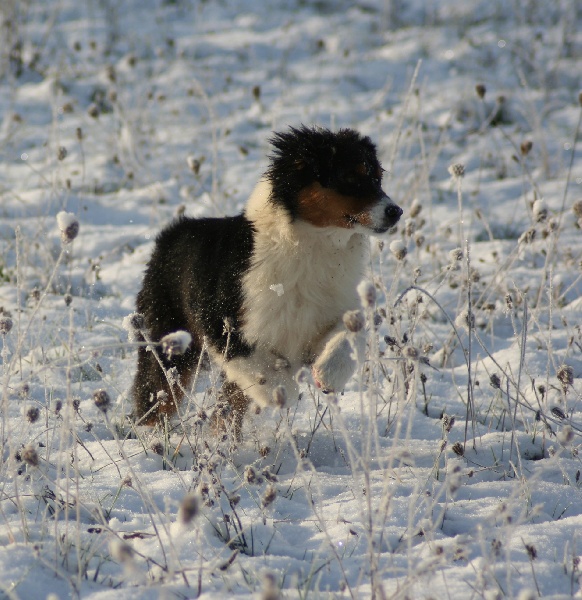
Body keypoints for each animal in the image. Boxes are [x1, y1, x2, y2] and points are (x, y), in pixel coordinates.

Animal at [133, 125, 404, 432]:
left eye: (377, 178)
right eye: (349, 177)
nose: (395, 212)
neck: (314, 244)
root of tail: (170, 233)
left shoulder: (335, 308)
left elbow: (349, 335)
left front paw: (327, 374)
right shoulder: (225, 323)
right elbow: (259, 369)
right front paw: (282, 391)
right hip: (168, 343)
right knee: (155, 400)